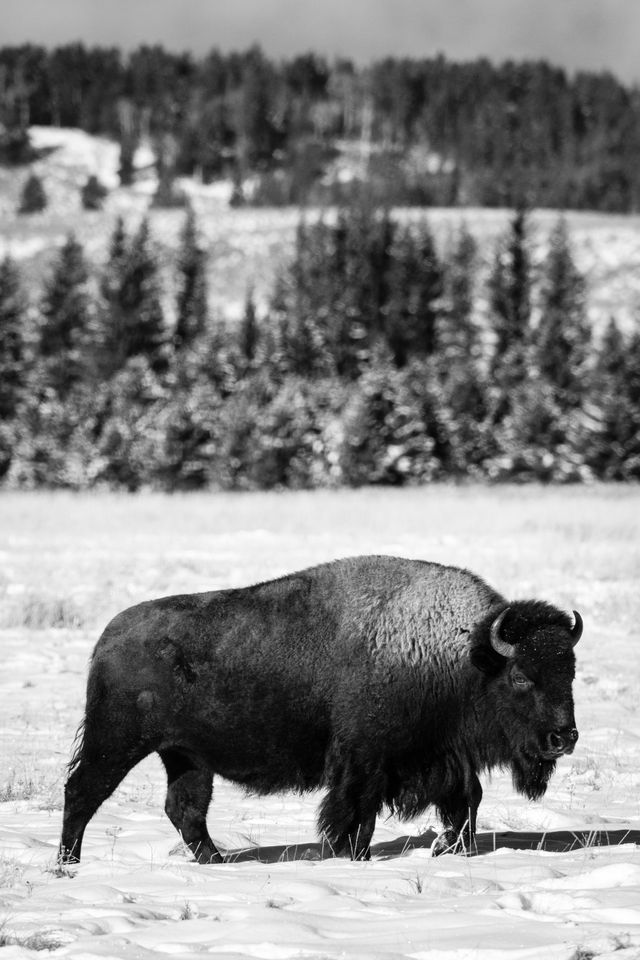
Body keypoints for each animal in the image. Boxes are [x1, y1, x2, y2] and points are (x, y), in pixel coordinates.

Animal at [57, 552, 584, 868]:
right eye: (522, 676)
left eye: (571, 671)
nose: (564, 737)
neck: (462, 655)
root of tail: (108, 637)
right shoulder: (366, 760)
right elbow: (357, 813)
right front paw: (353, 856)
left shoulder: (443, 757)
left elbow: (466, 800)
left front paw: (449, 849)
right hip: (117, 743)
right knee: (83, 792)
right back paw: (68, 865)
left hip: (184, 756)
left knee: (185, 808)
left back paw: (217, 861)